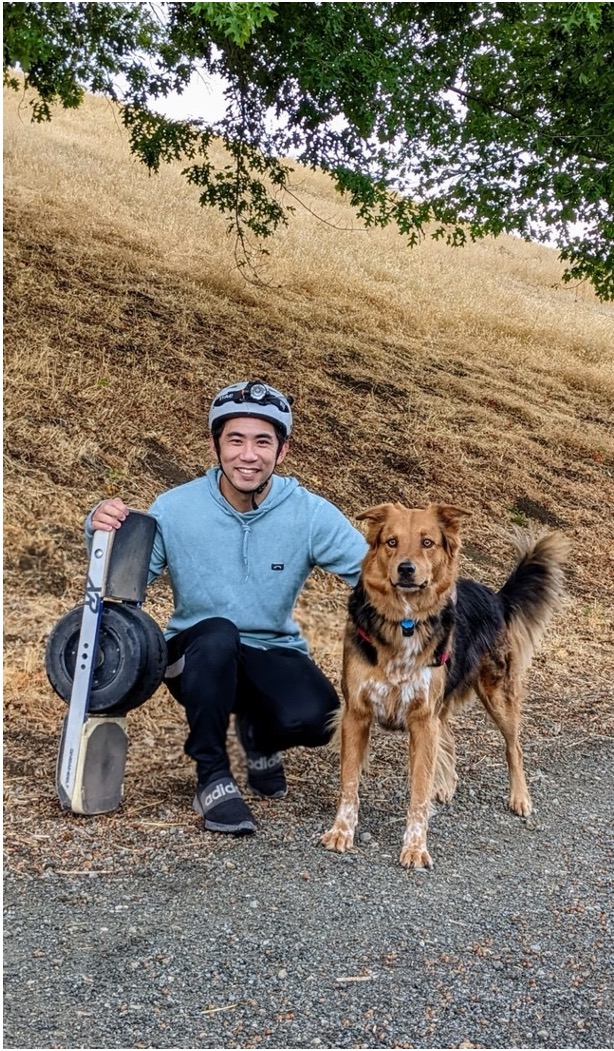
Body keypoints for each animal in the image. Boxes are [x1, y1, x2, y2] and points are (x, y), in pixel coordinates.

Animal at [323, 504, 567, 866]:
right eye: (391, 541)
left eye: (428, 542)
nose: (406, 569)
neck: (404, 622)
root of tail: (495, 596)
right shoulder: (357, 713)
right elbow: (350, 783)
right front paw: (341, 831)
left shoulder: (422, 719)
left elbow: (418, 791)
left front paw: (414, 847)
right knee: (449, 736)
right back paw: (447, 784)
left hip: (497, 694)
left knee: (514, 747)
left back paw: (520, 797)